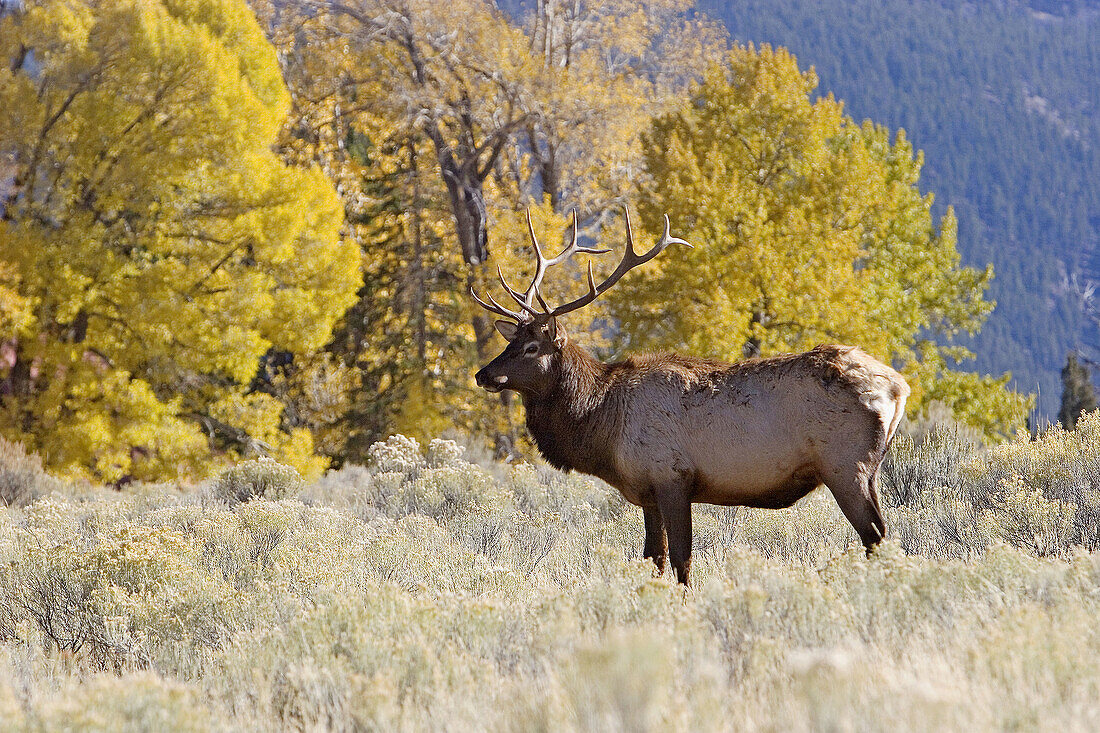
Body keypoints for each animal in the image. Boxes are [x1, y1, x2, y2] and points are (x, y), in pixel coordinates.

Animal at [473, 210, 910, 581]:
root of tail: (898, 387)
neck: (603, 425)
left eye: (532, 348)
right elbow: (653, 558)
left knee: (878, 538)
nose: (483, 374)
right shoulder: (647, 491)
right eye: (511, 342)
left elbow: (681, 559)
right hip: (866, 469)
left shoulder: (672, 476)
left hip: (845, 465)